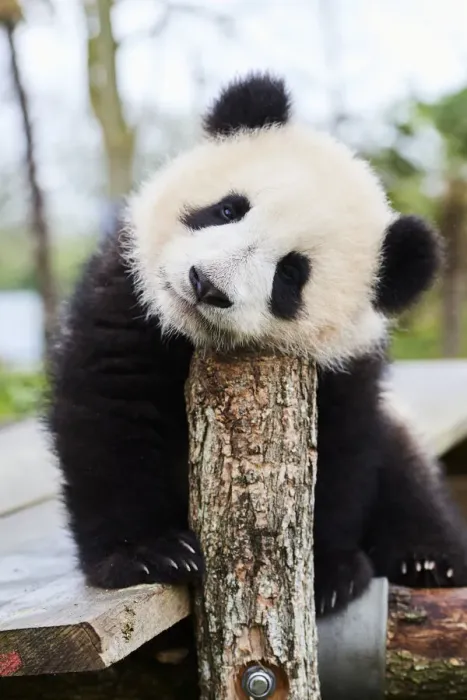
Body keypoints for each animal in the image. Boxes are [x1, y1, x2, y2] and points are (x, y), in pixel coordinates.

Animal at [48, 73, 467, 617]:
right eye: (228, 209)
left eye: (290, 274)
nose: (206, 284)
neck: (190, 339)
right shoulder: (125, 302)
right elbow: (112, 415)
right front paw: (146, 555)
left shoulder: (346, 370)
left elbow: (340, 453)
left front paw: (327, 573)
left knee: (406, 472)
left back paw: (429, 559)